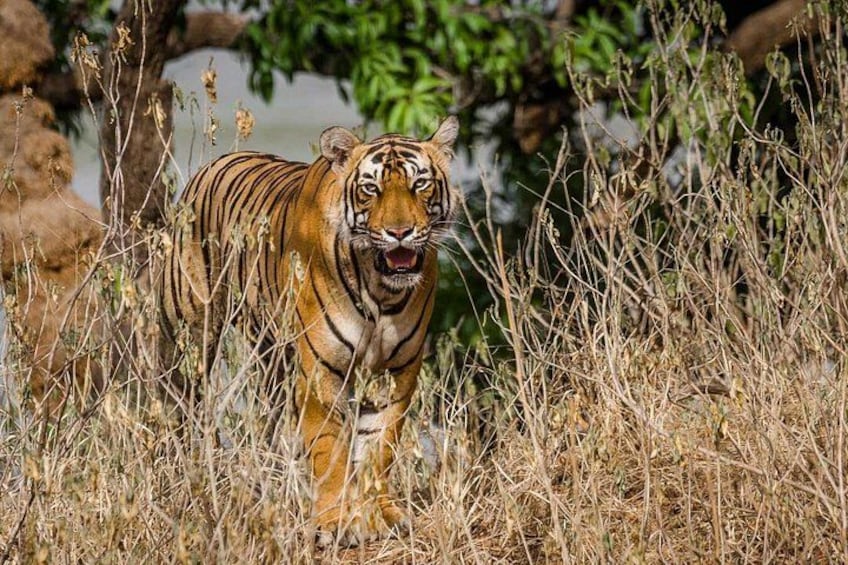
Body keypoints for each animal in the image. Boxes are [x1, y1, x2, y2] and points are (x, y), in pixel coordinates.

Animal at [158, 117, 460, 545]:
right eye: (371, 189)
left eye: (420, 184)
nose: (399, 232)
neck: (381, 291)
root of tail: (216, 162)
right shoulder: (321, 372)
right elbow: (329, 449)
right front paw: (335, 522)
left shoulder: (396, 372)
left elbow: (378, 447)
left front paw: (379, 514)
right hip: (191, 334)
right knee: (182, 402)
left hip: (272, 355)